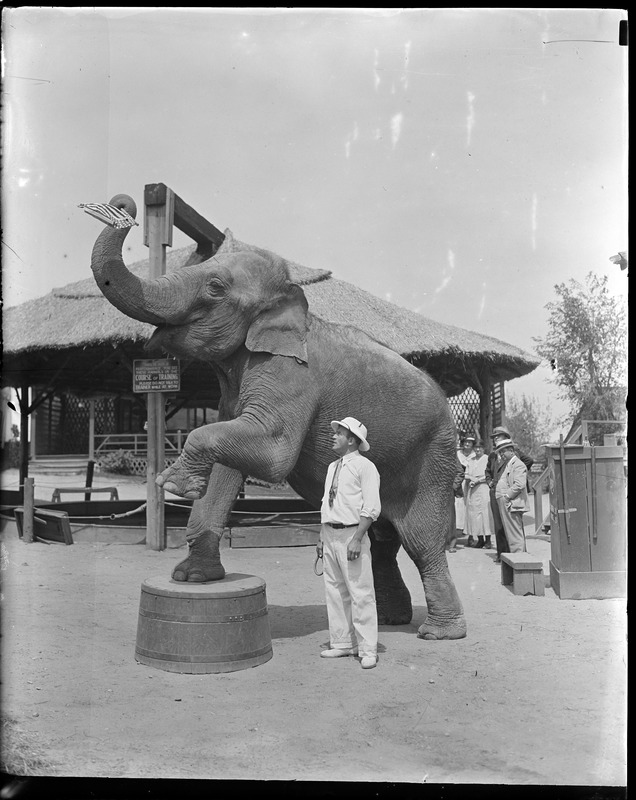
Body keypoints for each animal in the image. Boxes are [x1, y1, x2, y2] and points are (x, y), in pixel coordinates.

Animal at [89, 195, 468, 644]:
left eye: (215, 287)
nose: (122, 203)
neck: (291, 302)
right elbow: (228, 461)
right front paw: (192, 578)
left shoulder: (292, 373)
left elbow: (272, 454)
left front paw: (176, 485)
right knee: (382, 539)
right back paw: (393, 619)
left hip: (435, 456)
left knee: (422, 541)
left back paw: (439, 632)